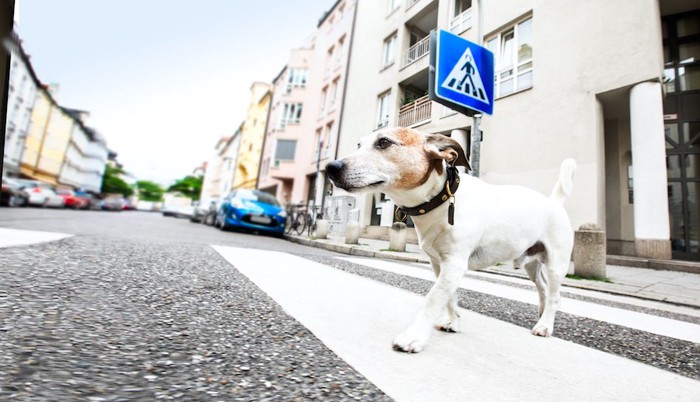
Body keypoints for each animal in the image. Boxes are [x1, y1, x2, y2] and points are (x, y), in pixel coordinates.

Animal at [326, 127, 576, 354]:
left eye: (384, 142)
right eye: (359, 145)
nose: (331, 167)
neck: (440, 199)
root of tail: (554, 202)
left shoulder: (454, 263)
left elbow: (434, 298)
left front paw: (413, 336)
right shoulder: (439, 263)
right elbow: (449, 297)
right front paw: (452, 321)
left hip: (556, 264)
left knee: (555, 296)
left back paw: (545, 325)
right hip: (531, 264)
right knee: (543, 288)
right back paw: (542, 315)